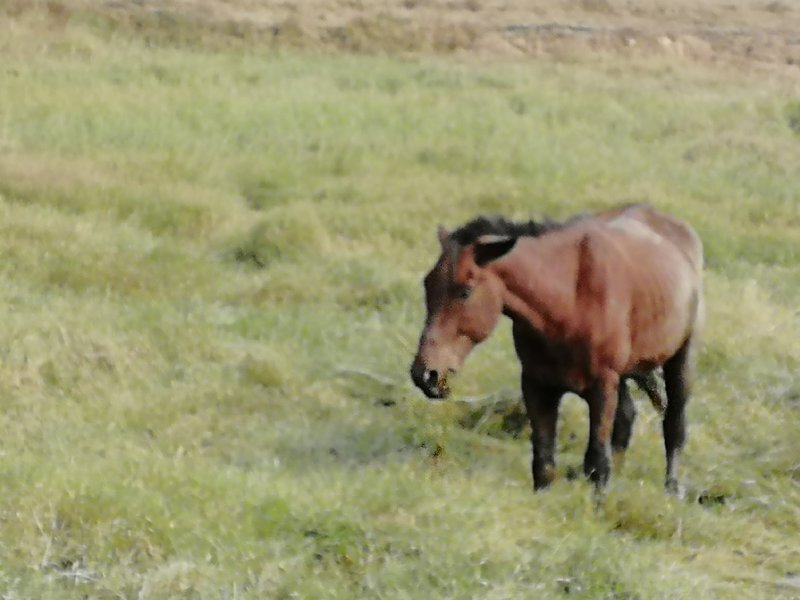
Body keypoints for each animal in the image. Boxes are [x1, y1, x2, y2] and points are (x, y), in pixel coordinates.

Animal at [409, 203, 703, 494]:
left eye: (465, 291)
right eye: (427, 284)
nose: (425, 374)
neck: (570, 300)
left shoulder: (602, 386)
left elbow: (597, 462)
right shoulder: (537, 385)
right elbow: (544, 463)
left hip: (679, 359)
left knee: (674, 423)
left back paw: (672, 488)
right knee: (626, 420)